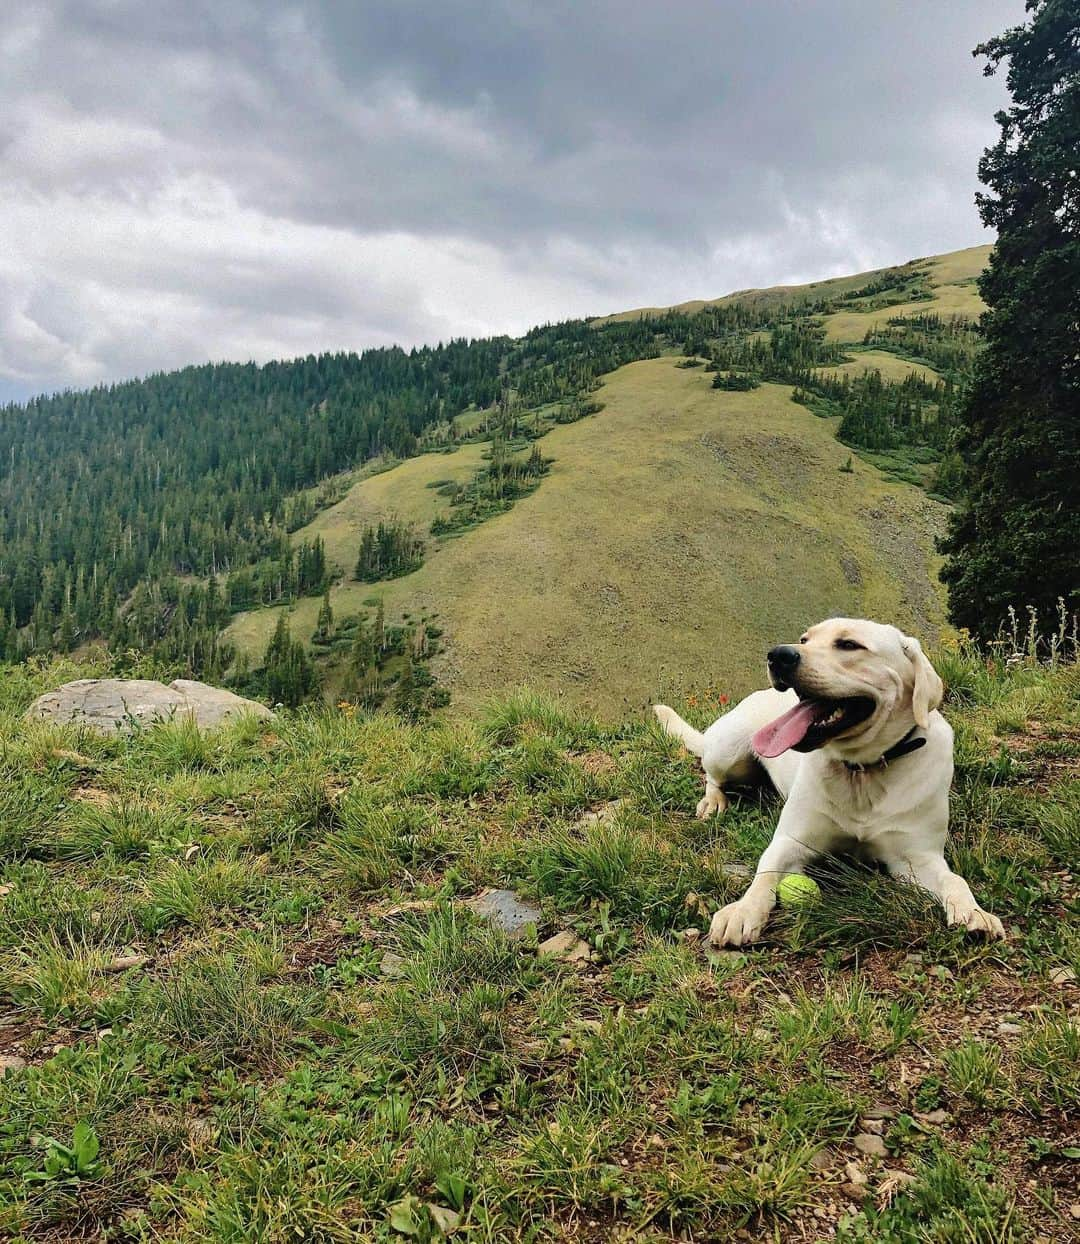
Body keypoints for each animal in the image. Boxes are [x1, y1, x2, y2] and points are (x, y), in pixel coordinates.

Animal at [651, 617, 1010, 945]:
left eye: (849, 645)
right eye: (804, 639)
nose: (779, 654)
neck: (862, 770)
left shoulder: (917, 857)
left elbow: (954, 880)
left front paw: (974, 913)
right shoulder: (792, 839)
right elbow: (765, 872)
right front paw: (743, 910)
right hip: (728, 751)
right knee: (711, 774)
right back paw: (713, 801)